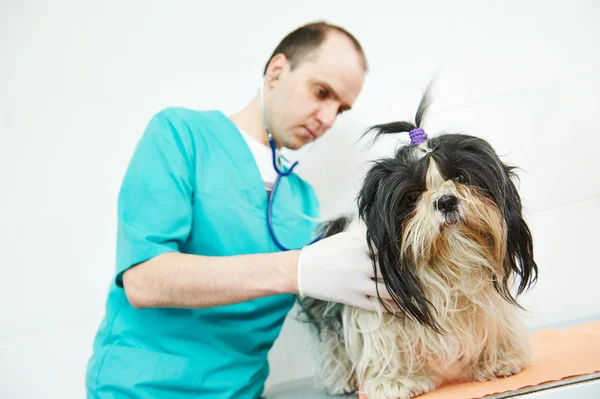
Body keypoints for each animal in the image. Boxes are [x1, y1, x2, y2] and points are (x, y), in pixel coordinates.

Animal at [298, 83, 536, 398]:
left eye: (461, 177)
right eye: (411, 197)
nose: (445, 201)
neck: (446, 266)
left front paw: (499, 360)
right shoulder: (375, 309)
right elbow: (383, 341)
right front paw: (396, 382)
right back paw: (343, 381)